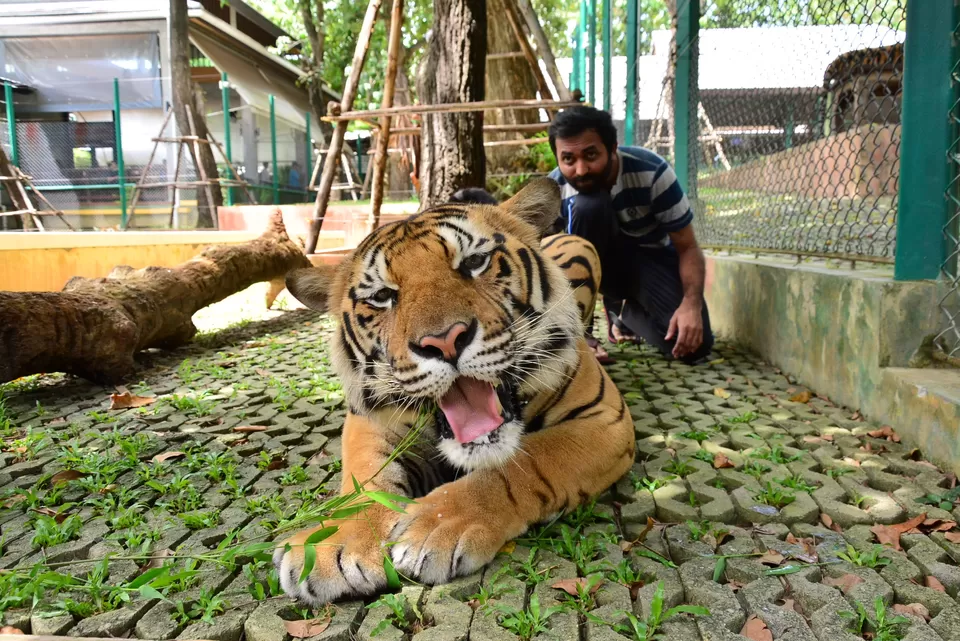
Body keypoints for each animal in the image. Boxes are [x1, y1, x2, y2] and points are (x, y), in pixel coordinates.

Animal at [275, 178, 635, 605]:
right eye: (381, 296)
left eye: (474, 262)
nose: (444, 341)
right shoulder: (371, 421)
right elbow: (367, 480)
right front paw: (336, 544)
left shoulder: (605, 421)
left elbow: (524, 461)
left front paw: (435, 527)